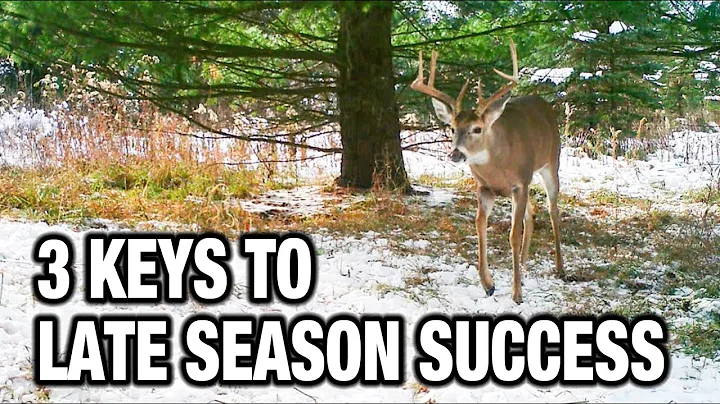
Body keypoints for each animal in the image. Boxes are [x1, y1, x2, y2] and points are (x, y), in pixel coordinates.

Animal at [410, 39, 563, 303]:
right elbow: (480, 225)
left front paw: (516, 294)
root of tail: (544, 104)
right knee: (532, 214)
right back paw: (523, 270)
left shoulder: (519, 183)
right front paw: (488, 284)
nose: (455, 154)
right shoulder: (485, 187)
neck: (497, 167)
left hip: (550, 163)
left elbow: (513, 235)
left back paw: (560, 269)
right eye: (452, 128)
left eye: (477, 129)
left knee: (553, 209)